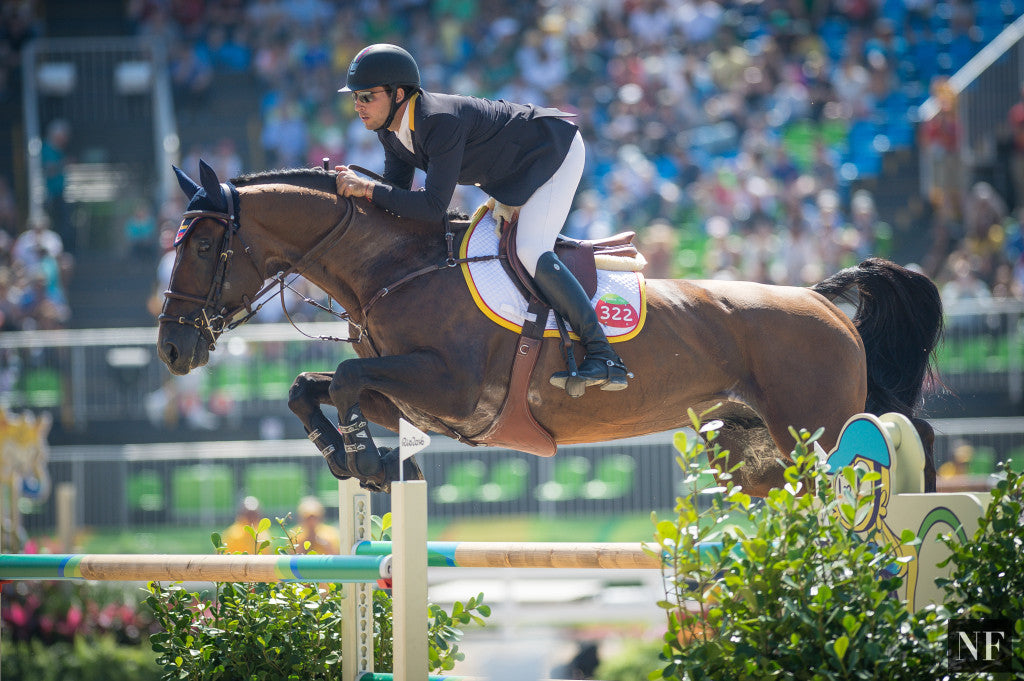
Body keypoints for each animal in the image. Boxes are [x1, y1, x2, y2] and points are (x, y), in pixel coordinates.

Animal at [155, 161, 937, 497]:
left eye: (203, 244)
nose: (172, 347)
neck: (398, 267)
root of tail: (823, 304)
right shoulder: (418, 400)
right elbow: (308, 384)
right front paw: (346, 456)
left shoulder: (451, 387)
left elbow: (343, 377)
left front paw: (370, 463)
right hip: (754, 449)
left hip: (817, 427)